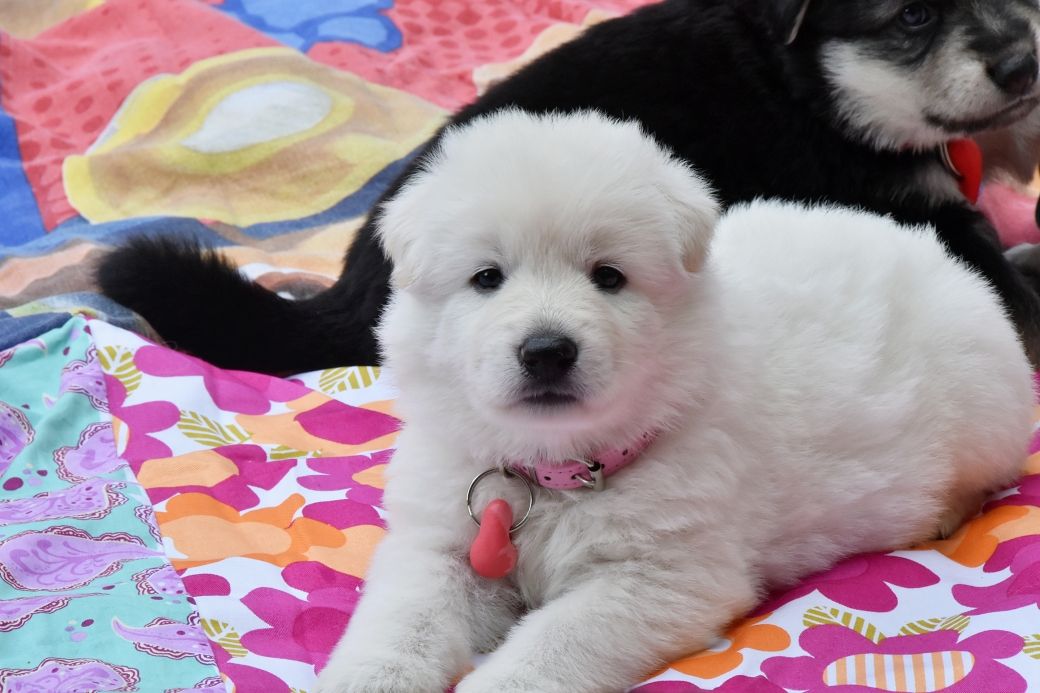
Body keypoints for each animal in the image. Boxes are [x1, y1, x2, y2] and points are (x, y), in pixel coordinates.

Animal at [98, 0, 1040, 373]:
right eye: (912, 16)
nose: (1025, 64)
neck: (804, 81)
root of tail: (352, 290)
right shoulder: (916, 214)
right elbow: (1007, 280)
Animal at [312, 110, 1034, 693]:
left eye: (609, 276)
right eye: (486, 277)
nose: (546, 350)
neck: (554, 472)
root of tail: (939, 256)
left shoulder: (666, 575)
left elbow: (554, 641)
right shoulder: (439, 540)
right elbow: (403, 616)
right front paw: (365, 677)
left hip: (983, 407)